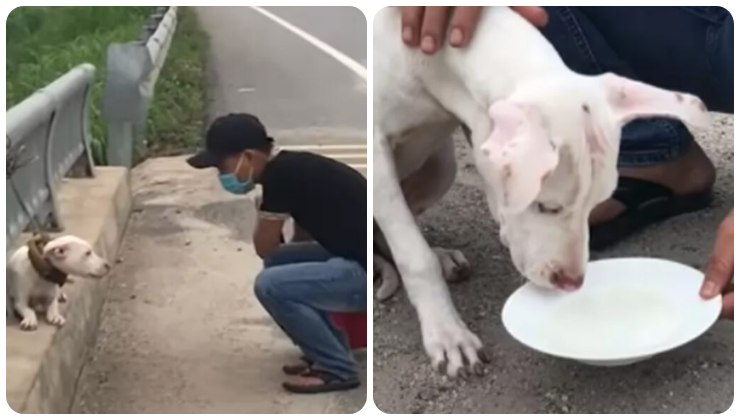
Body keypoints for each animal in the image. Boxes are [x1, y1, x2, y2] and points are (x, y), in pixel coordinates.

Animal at [376, 7, 712, 378]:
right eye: (546, 207)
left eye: (595, 205)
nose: (573, 284)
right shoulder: (372, 149)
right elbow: (414, 256)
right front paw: (449, 334)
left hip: (442, 167)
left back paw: (441, 255)